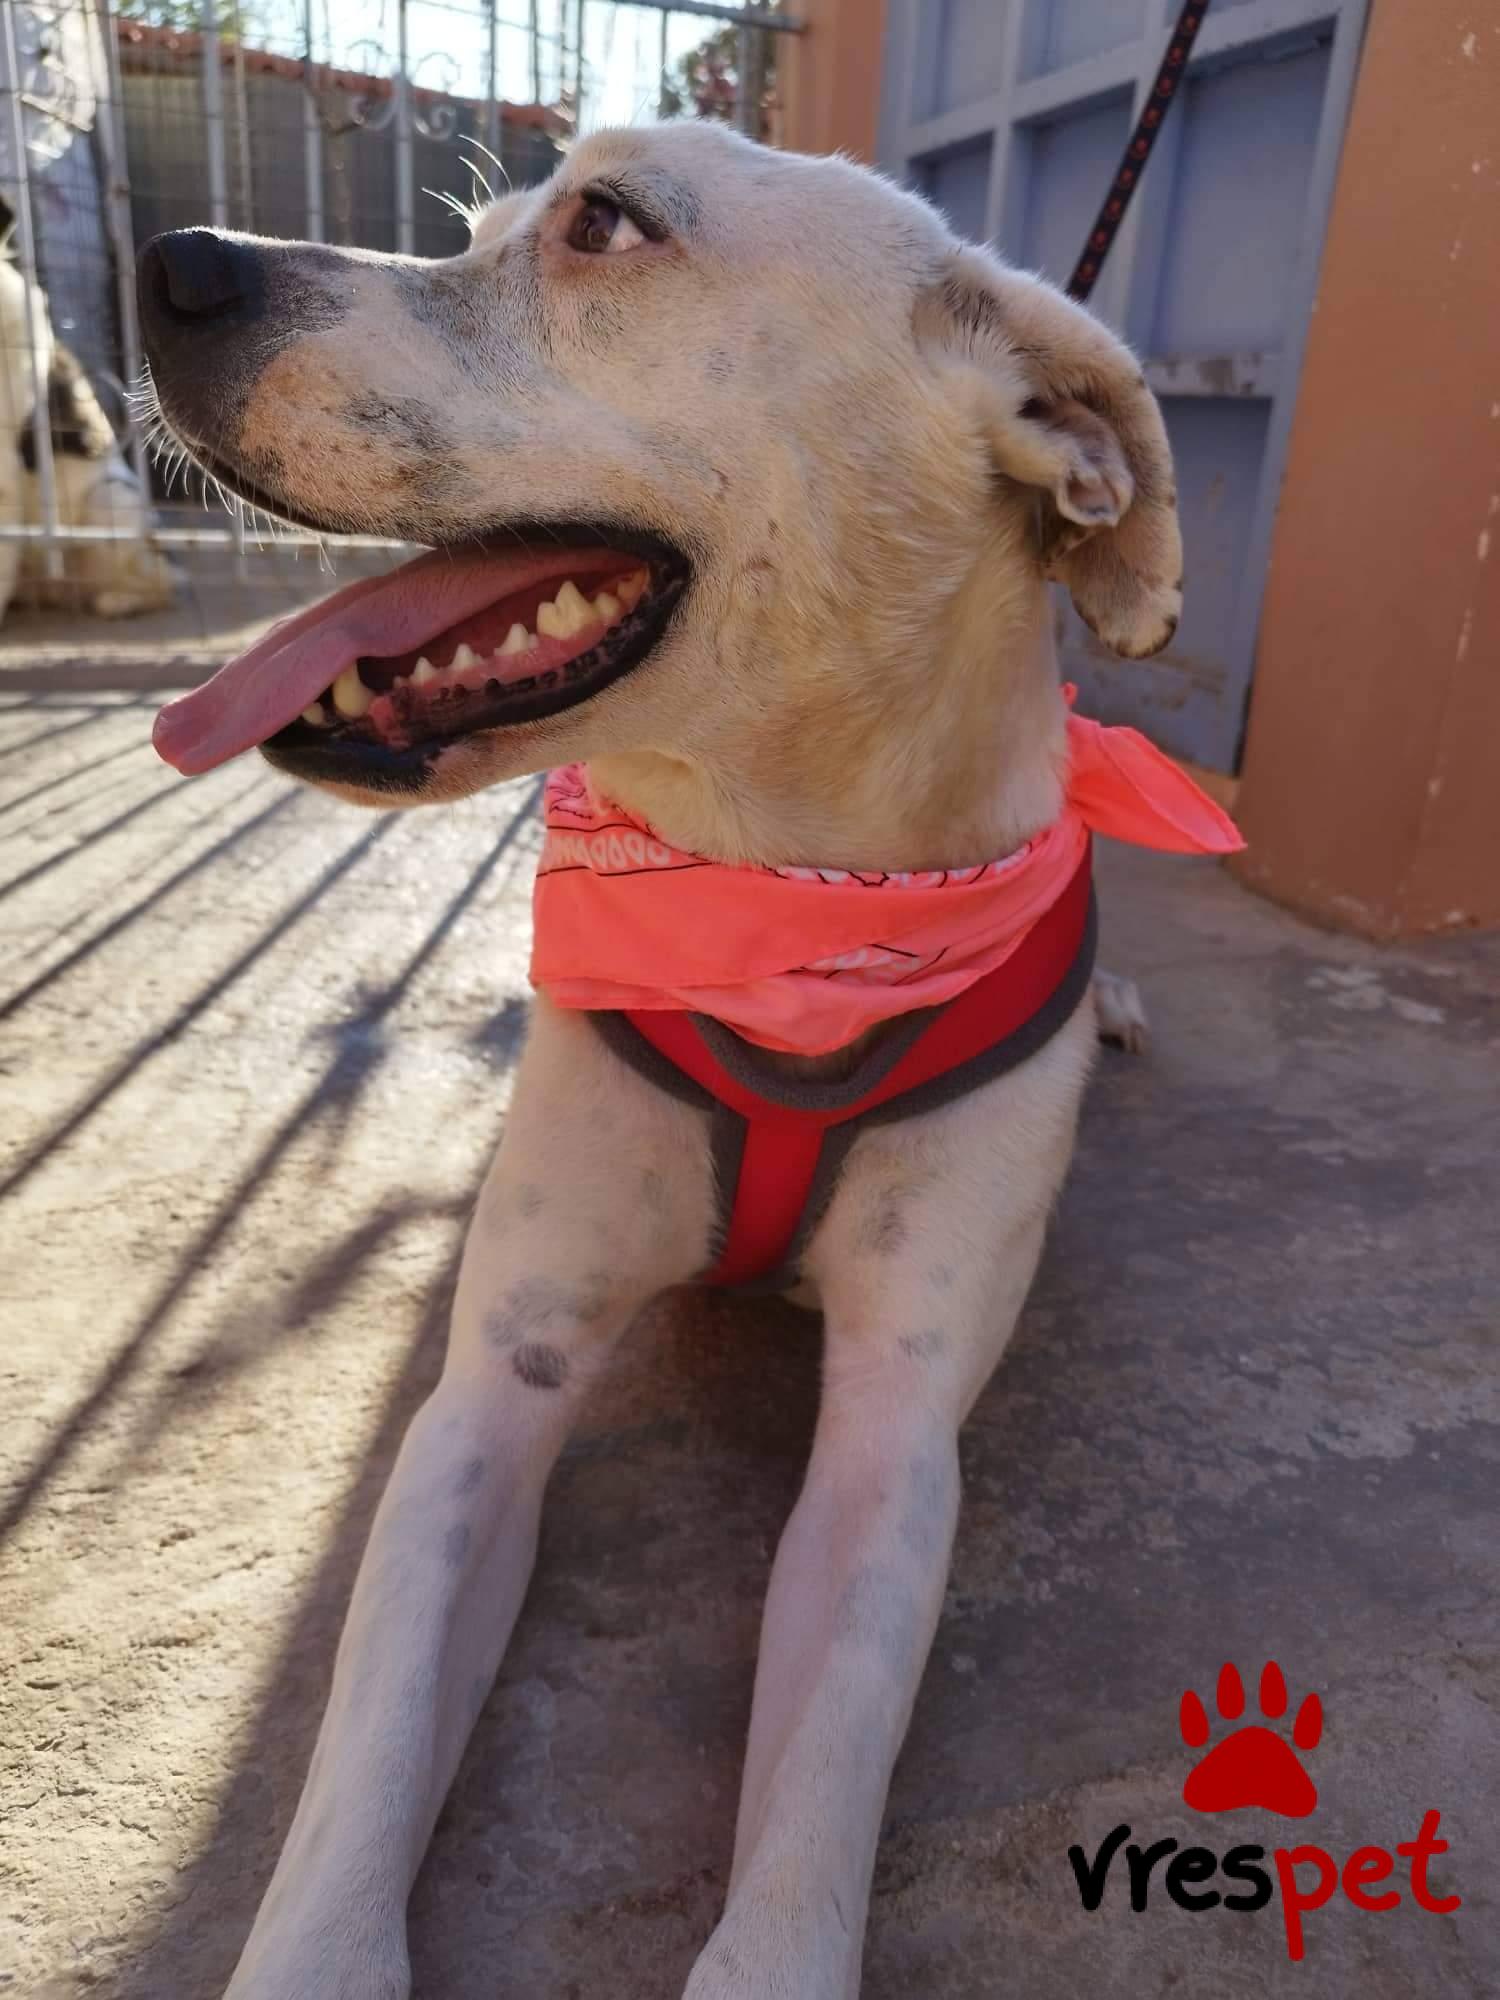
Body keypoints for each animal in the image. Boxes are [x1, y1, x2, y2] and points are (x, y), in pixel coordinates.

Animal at [137, 122, 1232, 1998]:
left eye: (604, 223)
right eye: (492, 225)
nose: (169, 261)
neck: (782, 907)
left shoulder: (892, 1439)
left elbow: (811, 1811)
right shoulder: (487, 1396)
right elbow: (366, 1756)